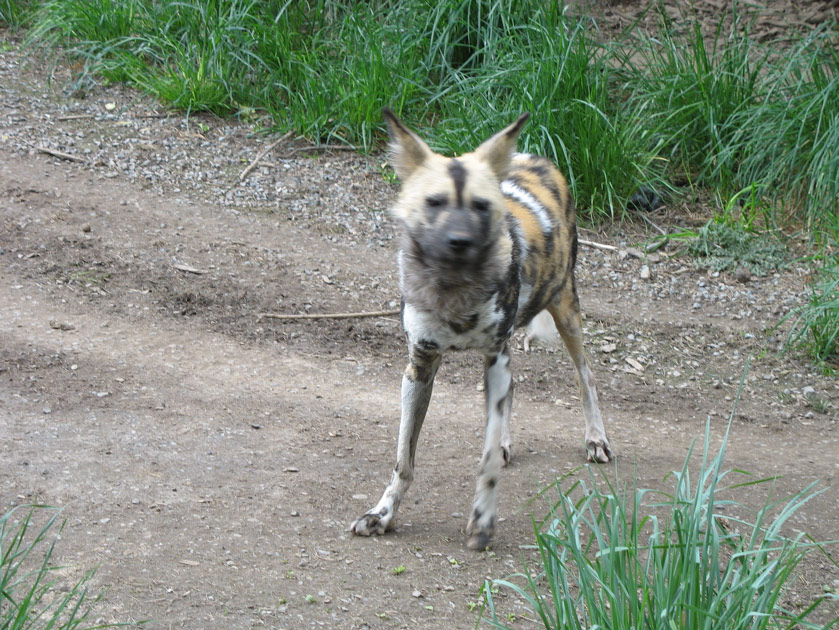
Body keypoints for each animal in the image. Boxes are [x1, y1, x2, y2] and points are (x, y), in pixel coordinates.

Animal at [352, 110, 612, 552]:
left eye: (481, 206)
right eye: (434, 202)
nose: (460, 241)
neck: (455, 292)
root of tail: (532, 157)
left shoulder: (495, 356)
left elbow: (486, 460)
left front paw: (483, 521)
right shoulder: (420, 368)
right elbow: (404, 461)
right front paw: (383, 513)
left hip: (565, 310)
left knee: (586, 377)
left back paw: (595, 438)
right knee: (514, 391)